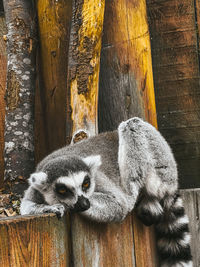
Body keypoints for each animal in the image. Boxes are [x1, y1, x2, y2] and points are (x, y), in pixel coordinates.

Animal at [20, 118, 192, 267]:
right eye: (62, 190)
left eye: (86, 183)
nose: (85, 203)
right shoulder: (36, 189)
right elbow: (25, 206)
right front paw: (50, 207)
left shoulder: (98, 178)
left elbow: (119, 205)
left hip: (161, 163)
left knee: (132, 125)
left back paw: (132, 193)